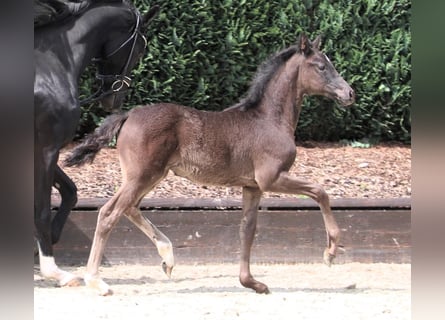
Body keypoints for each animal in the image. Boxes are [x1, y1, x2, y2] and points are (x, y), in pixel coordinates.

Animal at [35, 0, 160, 284]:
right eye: (140, 48)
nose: (114, 99)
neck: (51, 67)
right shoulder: (46, 150)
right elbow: (43, 208)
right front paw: (53, 270)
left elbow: (70, 192)